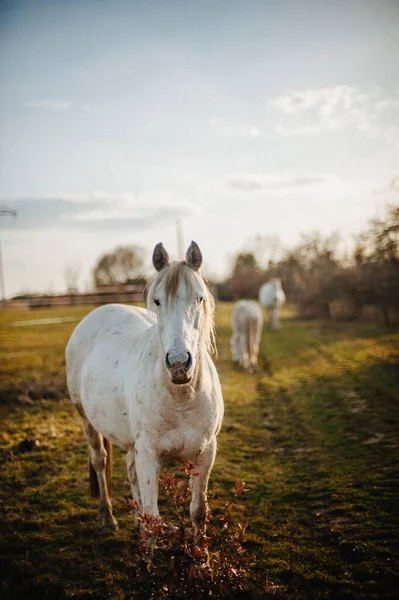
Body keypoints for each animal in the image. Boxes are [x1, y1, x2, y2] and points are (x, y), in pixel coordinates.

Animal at [65, 241, 225, 552]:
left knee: (129, 470)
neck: (181, 397)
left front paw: (202, 561)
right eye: (158, 301)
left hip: (131, 442)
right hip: (87, 421)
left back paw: (134, 522)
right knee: (100, 462)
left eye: (199, 298)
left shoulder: (206, 452)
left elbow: (198, 512)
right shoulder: (149, 455)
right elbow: (154, 518)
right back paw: (108, 519)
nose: (179, 364)